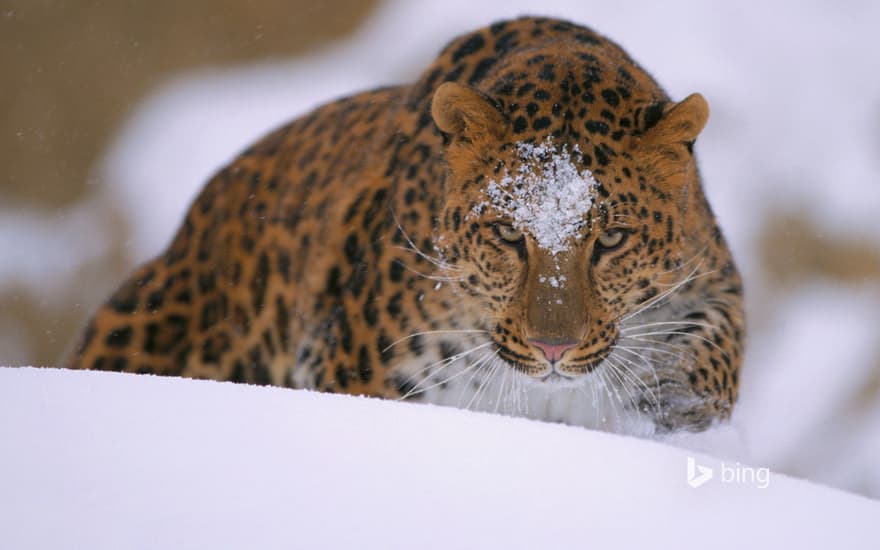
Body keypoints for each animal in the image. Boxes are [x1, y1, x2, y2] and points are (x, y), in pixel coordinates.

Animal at [65, 16, 744, 436]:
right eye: (507, 236)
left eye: (611, 239)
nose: (554, 349)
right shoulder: (356, 370)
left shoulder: (711, 272)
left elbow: (717, 347)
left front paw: (675, 402)